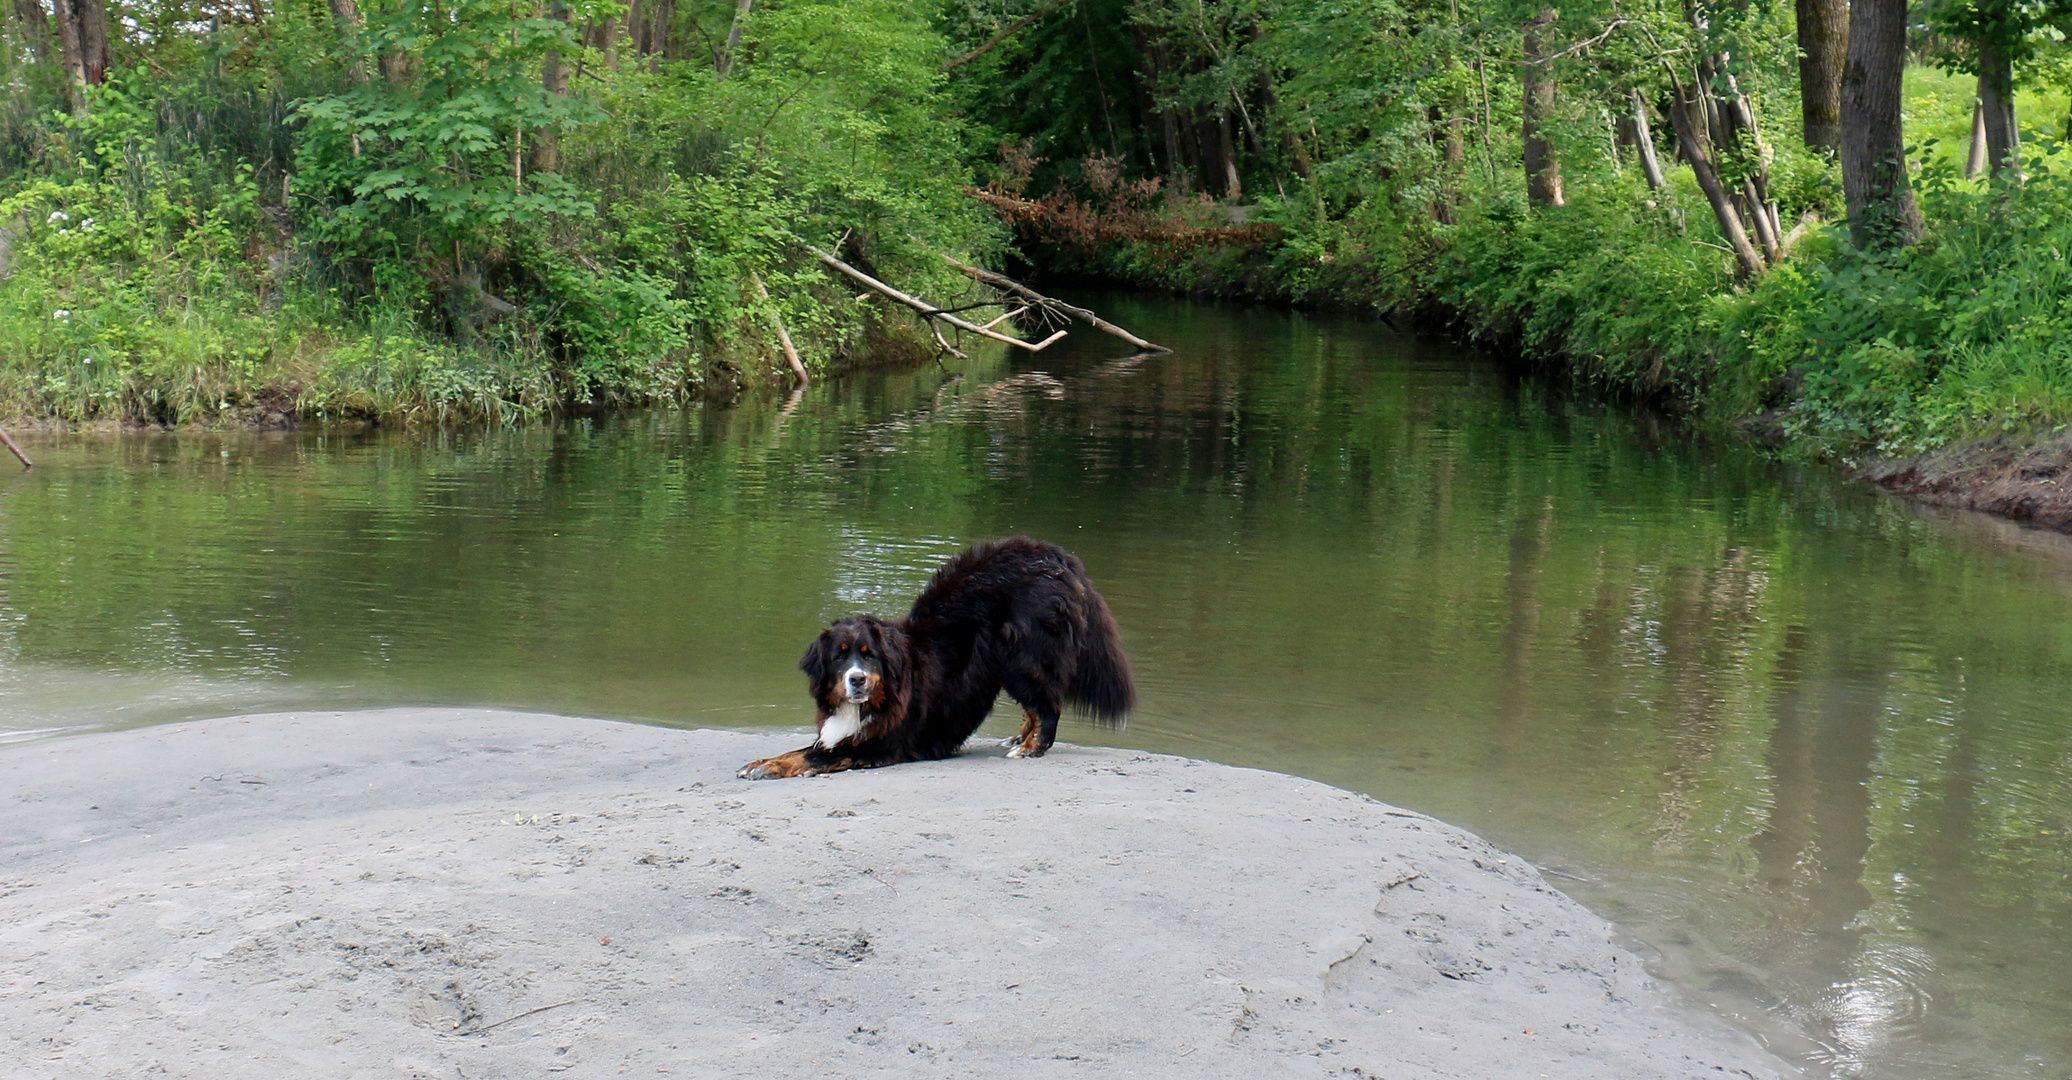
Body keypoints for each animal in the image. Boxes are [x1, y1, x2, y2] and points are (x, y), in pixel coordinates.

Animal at [741, 534, 1135, 775]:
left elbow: (813, 755)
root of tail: (1057, 556)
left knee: (1048, 708)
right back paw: (1018, 739)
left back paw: (1030, 749)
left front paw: (767, 767)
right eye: (840, 657)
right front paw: (761, 761)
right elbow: (802, 749)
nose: (858, 680)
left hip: (1025, 660)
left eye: (869, 656)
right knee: (1036, 707)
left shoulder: (878, 744)